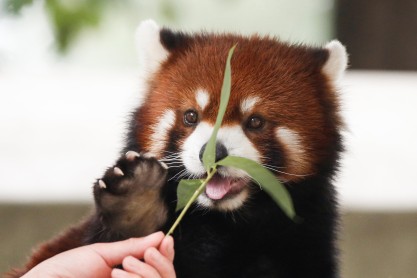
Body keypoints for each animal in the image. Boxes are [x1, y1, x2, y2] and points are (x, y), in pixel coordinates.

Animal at [8, 20, 346, 278]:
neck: (223, 224)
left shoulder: (305, 238)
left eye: (255, 122)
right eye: (191, 116)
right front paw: (135, 209)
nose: (212, 154)